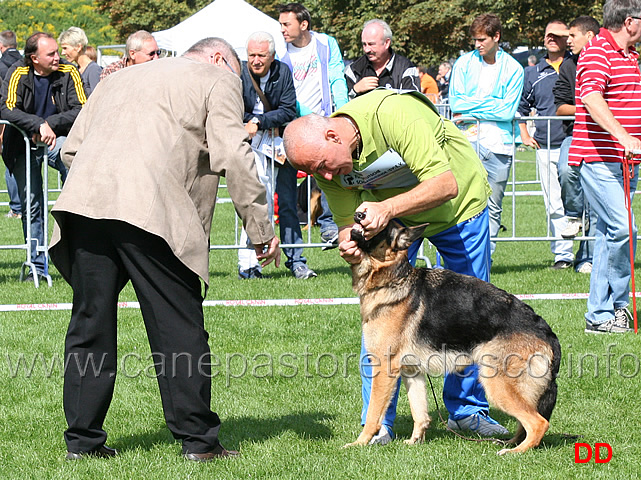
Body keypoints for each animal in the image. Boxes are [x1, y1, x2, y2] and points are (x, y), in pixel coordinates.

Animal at [344, 213, 560, 454]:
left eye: (380, 227)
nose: (359, 214)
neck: (393, 278)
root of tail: (546, 331)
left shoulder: (383, 368)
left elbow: (374, 413)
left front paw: (359, 443)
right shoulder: (412, 372)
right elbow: (420, 413)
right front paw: (414, 441)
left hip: (498, 385)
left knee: (538, 422)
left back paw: (514, 451)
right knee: (527, 423)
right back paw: (511, 443)